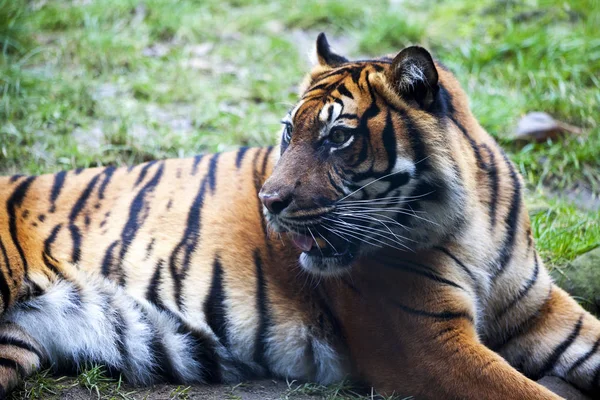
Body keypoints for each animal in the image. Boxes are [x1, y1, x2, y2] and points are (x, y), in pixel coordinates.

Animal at [0, 32, 596, 400]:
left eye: (338, 138)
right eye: (290, 131)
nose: (269, 201)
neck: (472, 222)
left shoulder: (541, 310)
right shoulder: (427, 344)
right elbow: (527, 393)